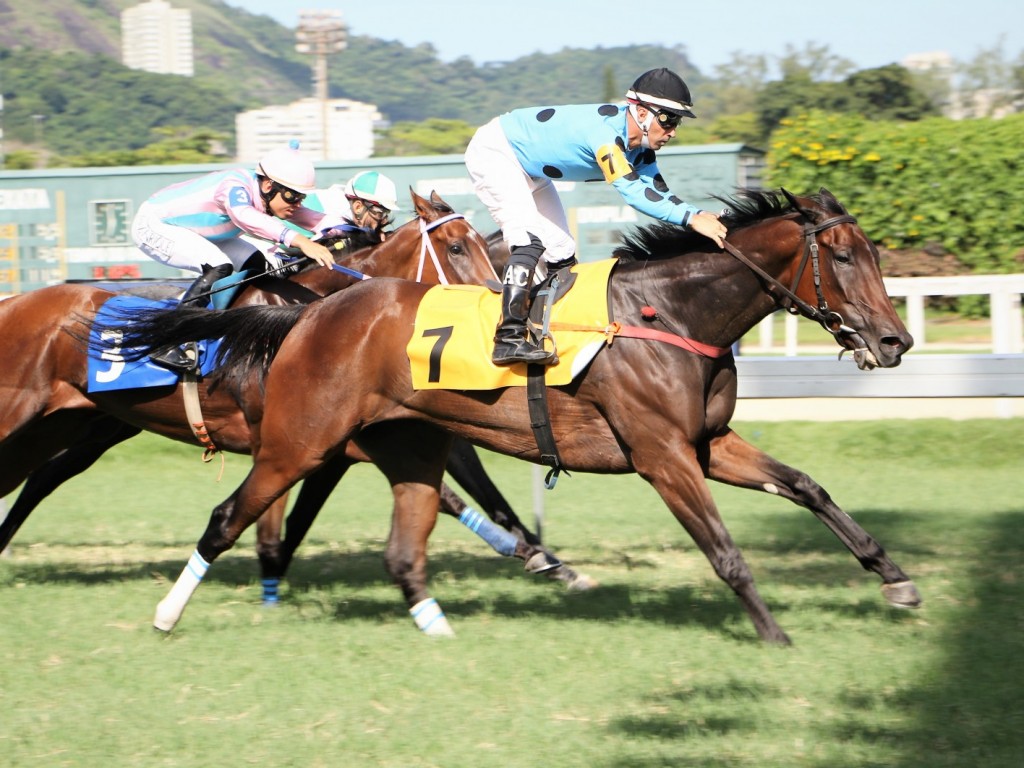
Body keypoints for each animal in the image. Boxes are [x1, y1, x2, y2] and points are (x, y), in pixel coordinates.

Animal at [97, 186, 921, 643]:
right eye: (843, 258)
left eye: (875, 255)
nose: (896, 341)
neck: (670, 313)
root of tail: (310, 312)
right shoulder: (661, 453)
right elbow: (723, 548)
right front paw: (774, 632)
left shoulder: (708, 441)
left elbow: (808, 486)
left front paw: (894, 578)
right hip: (299, 441)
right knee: (226, 517)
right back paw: (167, 615)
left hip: (401, 444)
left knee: (400, 548)